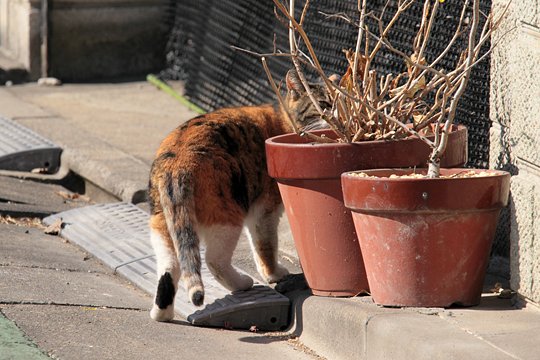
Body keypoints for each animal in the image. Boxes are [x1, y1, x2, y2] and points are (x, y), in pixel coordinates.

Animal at [150, 69, 332, 320]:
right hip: (227, 214)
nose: (338, 116)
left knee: (170, 265)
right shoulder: (266, 209)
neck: (284, 122)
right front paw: (274, 274)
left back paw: (162, 313)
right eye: (323, 104)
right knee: (213, 260)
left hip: (162, 223)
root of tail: (178, 162)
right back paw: (243, 283)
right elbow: (265, 245)